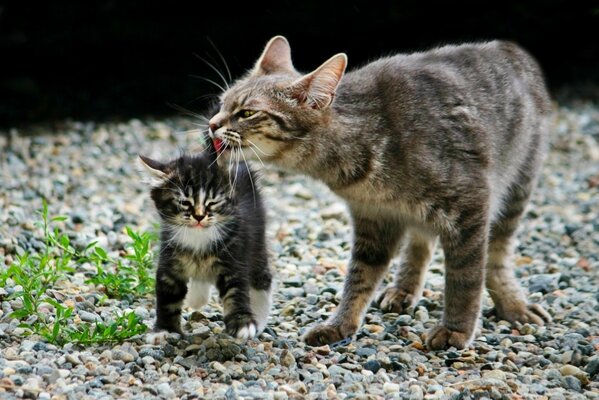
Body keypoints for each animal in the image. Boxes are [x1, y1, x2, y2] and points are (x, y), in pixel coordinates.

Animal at [139, 138, 274, 340]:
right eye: (185, 202)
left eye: (212, 202)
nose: (199, 216)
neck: (199, 238)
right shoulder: (169, 262)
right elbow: (167, 299)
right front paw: (165, 330)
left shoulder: (235, 258)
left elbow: (236, 292)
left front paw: (242, 322)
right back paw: (197, 297)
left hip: (257, 240)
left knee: (262, 277)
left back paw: (260, 315)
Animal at [207, 37, 552, 350]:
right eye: (223, 102)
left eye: (247, 113)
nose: (211, 124)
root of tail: (509, 46)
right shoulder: (374, 219)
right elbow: (359, 277)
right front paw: (341, 325)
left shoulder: (469, 204)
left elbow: (464, 278)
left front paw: (456, 330)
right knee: (421, 242)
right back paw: (404, 289)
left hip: (516, 188)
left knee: (496, 255)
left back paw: (513, 304)